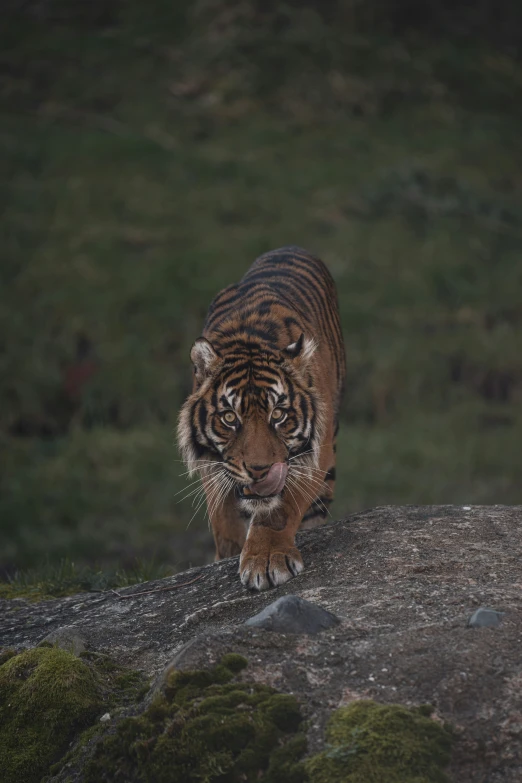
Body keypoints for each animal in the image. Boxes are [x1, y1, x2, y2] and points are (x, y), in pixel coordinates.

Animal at [177, 248, 344, 592]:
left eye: (278, 414)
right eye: (229, 417)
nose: (259, 470)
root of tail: (290, 246)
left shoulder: (313, 457)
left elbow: (277, 511)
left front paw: (266, 560)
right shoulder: (212, 466)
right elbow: (223, 520)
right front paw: (229, 554)